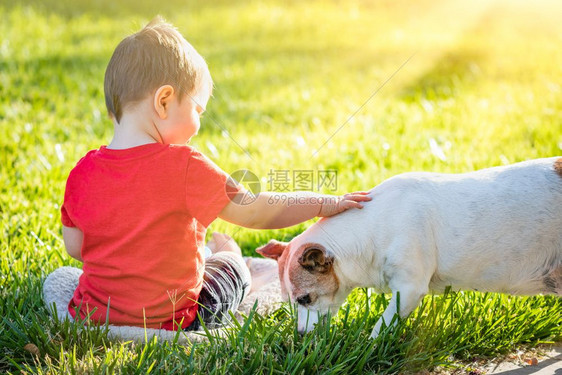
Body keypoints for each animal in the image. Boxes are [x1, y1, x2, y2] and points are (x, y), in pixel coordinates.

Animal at [256, 157, 556, 340]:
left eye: (305, 299)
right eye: (289, 302)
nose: (301, 336)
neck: (372, 228)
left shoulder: (409, 289)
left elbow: (382, 325)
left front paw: (368, 348)